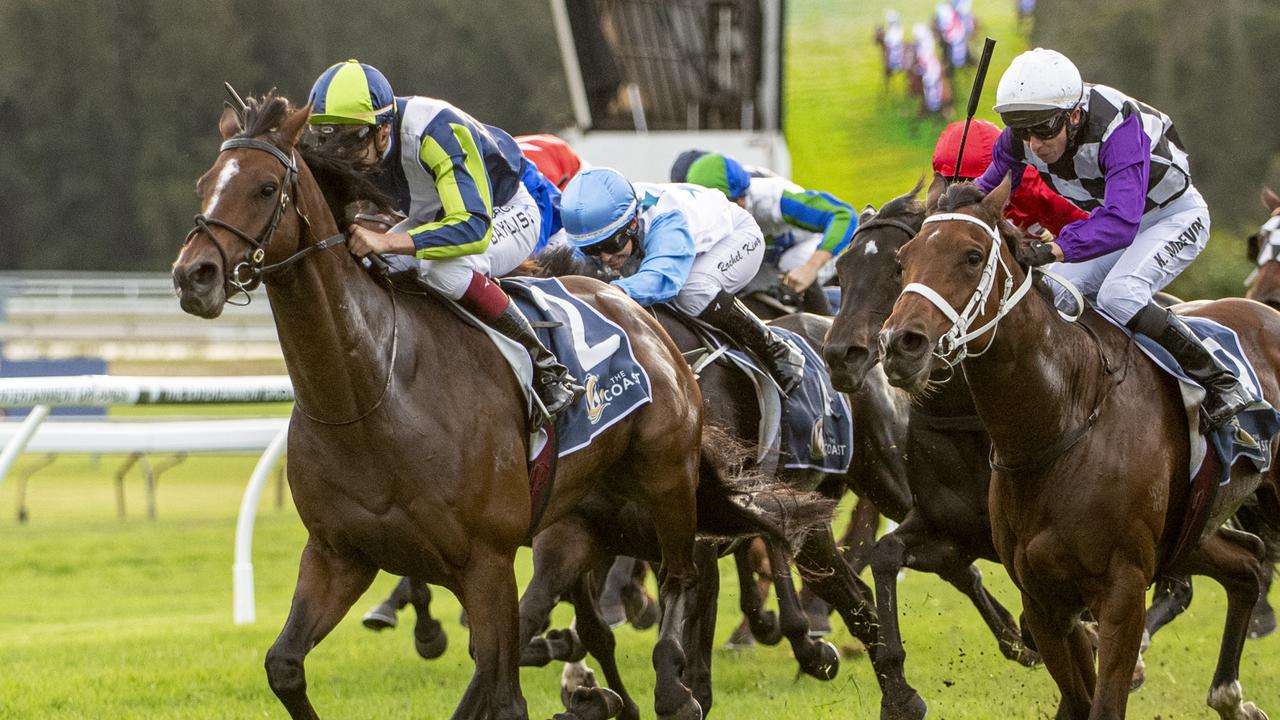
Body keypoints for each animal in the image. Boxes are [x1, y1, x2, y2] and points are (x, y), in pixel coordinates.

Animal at [172, 95, 747, 717]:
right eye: (204, 183)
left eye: (265, 187)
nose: (193, 275)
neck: (372, 396)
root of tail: (636, 306)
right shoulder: (338, 554)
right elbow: (284, 666)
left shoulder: (487, 563)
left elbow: (506, 696)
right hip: (587, 512)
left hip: (666, 478)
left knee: (683, 573)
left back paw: (676, 686)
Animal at [880, 175, 1280, 717]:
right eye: (904, 259)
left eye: (971, 255)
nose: (901, 345)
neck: (1059, 420)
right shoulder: (1044, 598)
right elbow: (1075, 697)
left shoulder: (1122, 592)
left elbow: (1104, 701)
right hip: (1191, 531)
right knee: (1249, 562)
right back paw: (1231, 697)